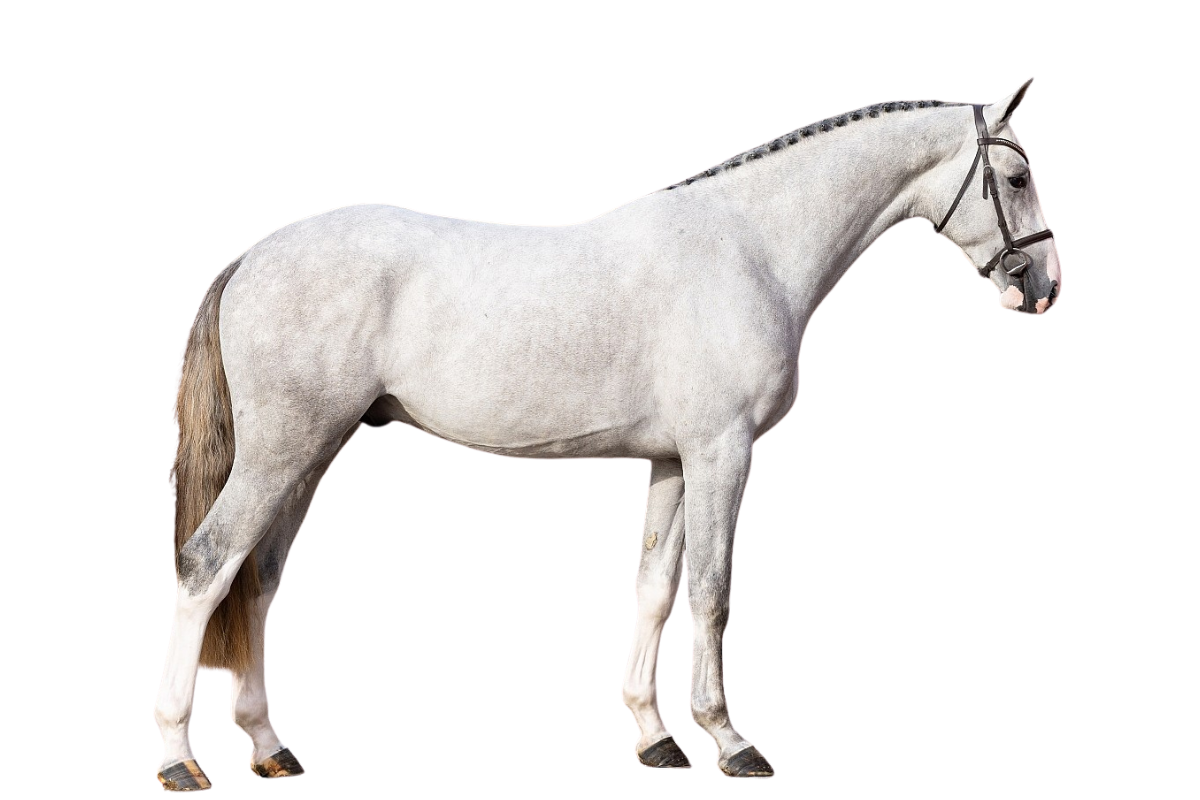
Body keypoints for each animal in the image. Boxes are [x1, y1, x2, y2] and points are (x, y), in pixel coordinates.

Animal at [154, 77, 1059, 790]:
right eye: (1016, 176)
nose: (1045, 288)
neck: (751, 247)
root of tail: (252, 256)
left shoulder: (673, 459)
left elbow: (654, 587)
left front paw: (656, 736)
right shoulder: (723, 452)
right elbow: (713, 591)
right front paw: (731, 741)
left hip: (308, 455)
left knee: (259, 579)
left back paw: (269, 746)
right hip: (284, 451)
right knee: (208, 564)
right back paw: (179, 757)